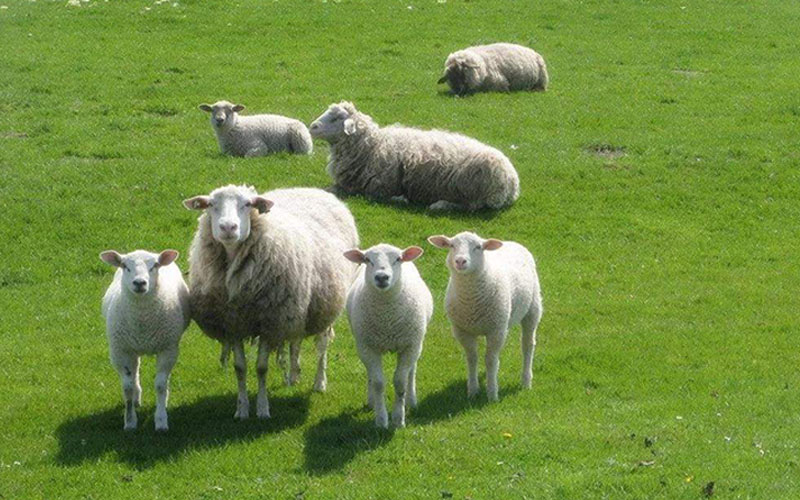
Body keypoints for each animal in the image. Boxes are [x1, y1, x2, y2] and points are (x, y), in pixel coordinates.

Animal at [99, 249, 190, 431]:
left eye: (155, 265)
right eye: (124, 266)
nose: (140, 283)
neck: (143, 320)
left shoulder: (168, 349)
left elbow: (161, 385)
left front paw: (161, 420)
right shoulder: (121, 351)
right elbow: (127, 387)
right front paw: (129, 421)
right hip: (130, 346)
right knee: (135, 372)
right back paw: (136, 399)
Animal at [183, 184, 359, 419]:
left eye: (248, 204)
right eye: (211, 204)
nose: (228, 227)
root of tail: (311, 189)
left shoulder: (269, 323)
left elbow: (261, 368)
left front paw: (263, 408)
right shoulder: (233, 324)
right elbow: (240, 368)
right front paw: (242, 409)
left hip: (324, 305)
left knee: (322, 345)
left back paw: (319, 382)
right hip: (296, 309)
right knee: (296, 341)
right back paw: (293, 375)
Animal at [309, 101, 519, 211]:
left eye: (337, 118)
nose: (312, 126)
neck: (372, 146)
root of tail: (513, 184)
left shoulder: (375, 188)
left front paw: (401, 198)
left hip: (475, 188)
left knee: (470, 206)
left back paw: (438, 204)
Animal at [343, 244, 433, 428]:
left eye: (398, 259)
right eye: (367, 259)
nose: (382, 277)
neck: (387, 318)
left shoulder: (410, 346)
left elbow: (400, 382)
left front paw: (399, 419)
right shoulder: (367, 347)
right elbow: (378, 383)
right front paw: (381, 420)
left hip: (415, 343)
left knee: (411, 371)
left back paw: (411, 400)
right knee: (371, 374)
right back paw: (371, 401)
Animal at [427, 232, 542, 401]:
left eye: (478, 247)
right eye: (452, 245)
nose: (460, 261)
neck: (471, 301)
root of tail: (512, 242)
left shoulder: (495, 331)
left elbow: (490, 360)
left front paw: (492, 393)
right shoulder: (462, 330)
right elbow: (472, 358)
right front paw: (473, 390)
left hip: (532, 309)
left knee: (527, 344)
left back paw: (526, 380)